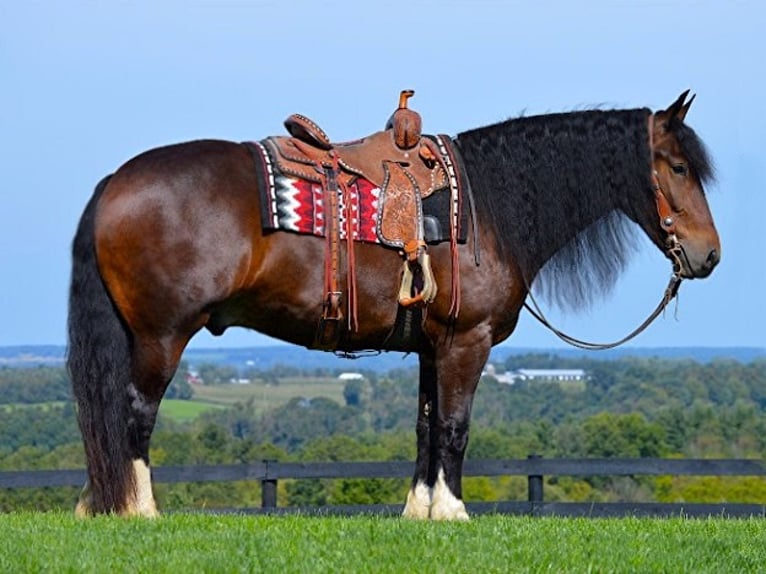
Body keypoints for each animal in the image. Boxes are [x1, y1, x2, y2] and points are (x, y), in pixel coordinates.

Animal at [67, 92, 720, 520]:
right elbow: (455, 426)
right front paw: (453, 513)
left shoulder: (433, 347)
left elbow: (426, 427)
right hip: (162, 334)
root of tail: (114, 183)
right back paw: (138, 509)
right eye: (679, 167)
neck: (486, 210)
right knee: (135, 413)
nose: (708, 254)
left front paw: (419, 512)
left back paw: (98, 502)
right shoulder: (466, 342)